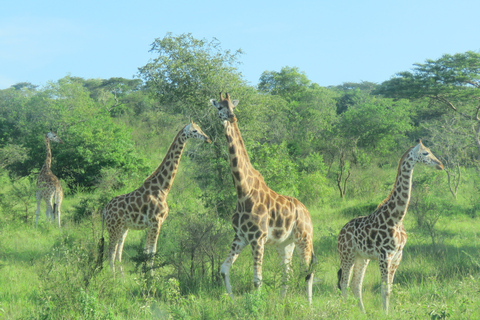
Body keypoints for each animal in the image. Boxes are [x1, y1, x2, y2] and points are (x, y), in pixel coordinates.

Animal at [103, 122, 210, 272]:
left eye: (200, 128)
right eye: (195, 131)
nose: (207, 139)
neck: (163, 189)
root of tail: (105, 209)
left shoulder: (153, 224)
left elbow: (147, 251)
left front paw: (145, 274)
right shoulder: (156, 222)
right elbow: (151, 252)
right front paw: (150, 276)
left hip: (124, 227)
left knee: (118, 252)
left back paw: (120, 276)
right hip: (113, 227)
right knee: (111, 251)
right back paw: (112, 276)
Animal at [209, 94, 316, 304]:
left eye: (232, 106)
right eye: (219, 107)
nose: (231, 117)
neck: (243, 191)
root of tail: (307, 212)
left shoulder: (257, 238)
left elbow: (257, 280)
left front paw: (256, 306)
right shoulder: (240, 236)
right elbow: (224, 270)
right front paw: (233, 302)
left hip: (304, 239)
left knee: (307, 272)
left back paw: (309, 305)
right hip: (285, 244)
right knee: (288, 273)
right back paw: (282, 302)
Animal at [338, 140, 442, 312]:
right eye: (425, 153)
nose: (440, 164)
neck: (397, 218)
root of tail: (340, 233)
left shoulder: (398, 255)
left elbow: (390, 289)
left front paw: (388, 312)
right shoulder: (384, 255)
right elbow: (384, 289)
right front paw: (385, 313)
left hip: (362, 257)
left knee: (355, 284)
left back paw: (363, 313)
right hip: (347, 254)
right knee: (344, 283)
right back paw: (345, 311)